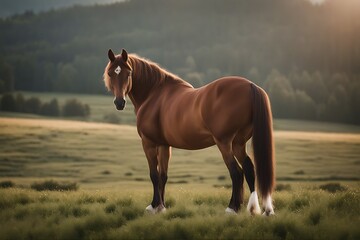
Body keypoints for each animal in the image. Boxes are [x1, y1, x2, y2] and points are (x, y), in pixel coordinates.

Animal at [103, 48, 276, 216]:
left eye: (128, 73)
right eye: (111, 73)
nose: (119, 102)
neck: (153, 94)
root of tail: (250, 85)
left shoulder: (149, 143)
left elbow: (154, 175)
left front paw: (153, 206)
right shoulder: (164, 145)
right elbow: (163, 175)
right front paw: (162, 207)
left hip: (224, 143)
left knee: (236, 173)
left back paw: (232, 208)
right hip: (238, 143)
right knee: (248, 170)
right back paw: (254, 208)